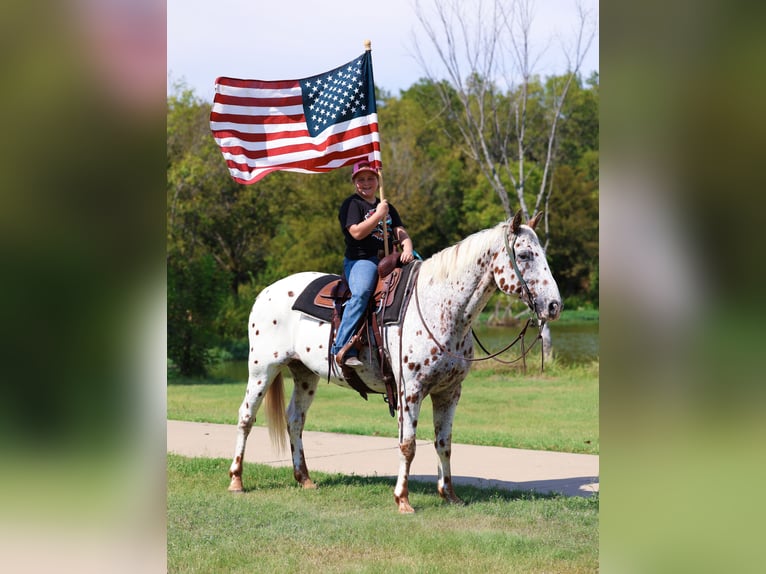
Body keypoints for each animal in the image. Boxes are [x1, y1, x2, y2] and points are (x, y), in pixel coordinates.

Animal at [227, 211, 562, 513]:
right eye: (524, 254)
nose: (554, 305)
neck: (440, 306)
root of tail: (264, 293)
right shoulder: (410, 390)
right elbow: (408, 444)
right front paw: (403, 499)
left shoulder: (449, 391)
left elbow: (444, 442)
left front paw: (449, 495)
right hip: (262, 369)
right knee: (246, 417)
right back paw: (236, 480)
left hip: (305, 374)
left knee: (295, 419)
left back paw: (304, 479)